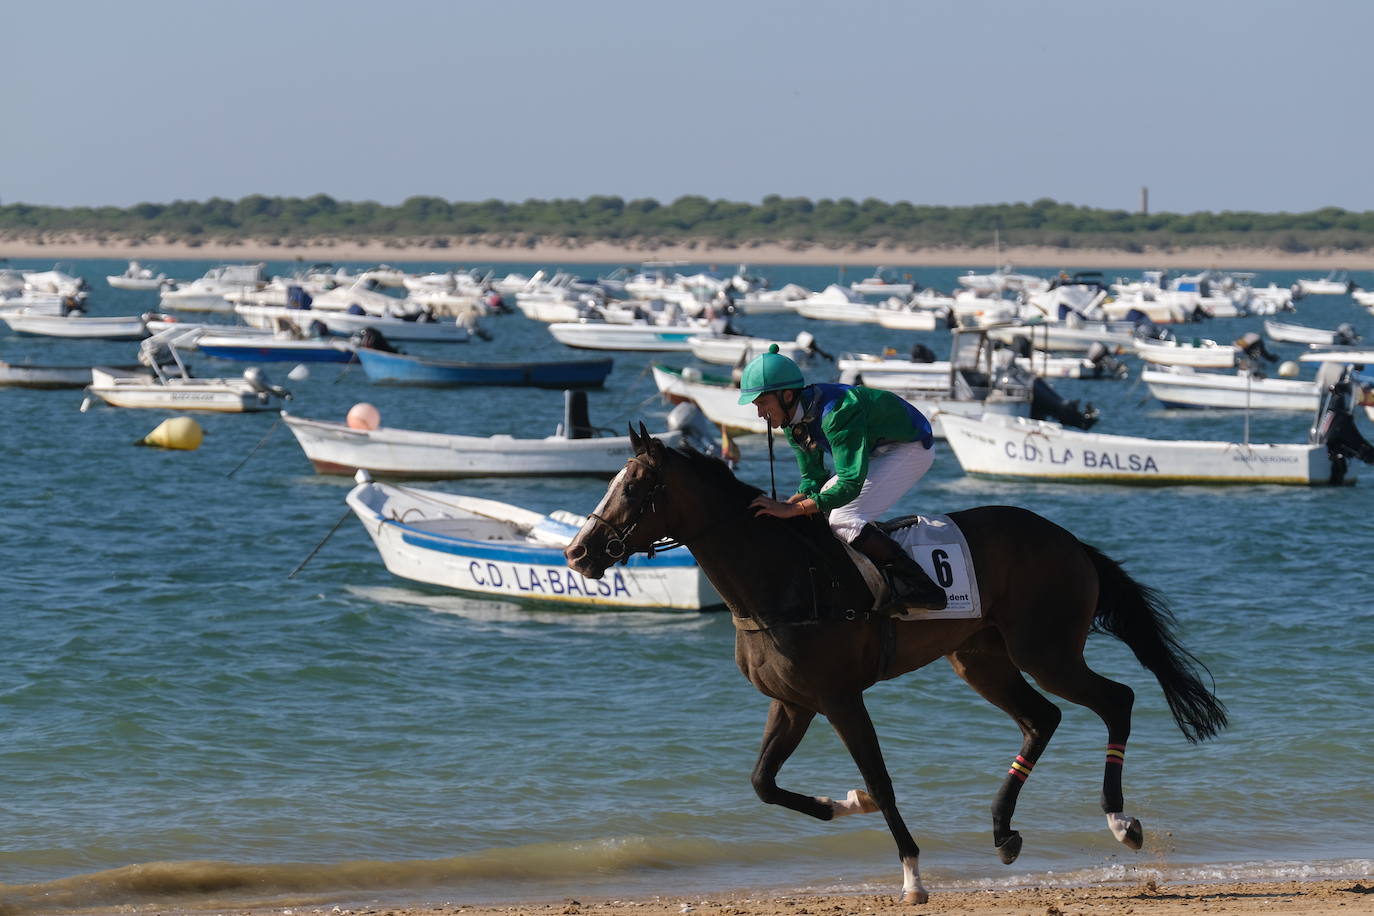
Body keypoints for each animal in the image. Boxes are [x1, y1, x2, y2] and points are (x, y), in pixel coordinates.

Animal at [563, 433, 1231, 906]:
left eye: (635, 488)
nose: (577, 552)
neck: (777, 579)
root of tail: (1069, 541)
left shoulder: (839, 698)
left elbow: (881, 780)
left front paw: (911, 875)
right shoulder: (793, 701)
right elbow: (763, 783)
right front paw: (844, 803)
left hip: (1046, 651)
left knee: (1115, 700)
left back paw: (1121, 821)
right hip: (981, 658)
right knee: (1042, 719)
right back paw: (1003, 832)